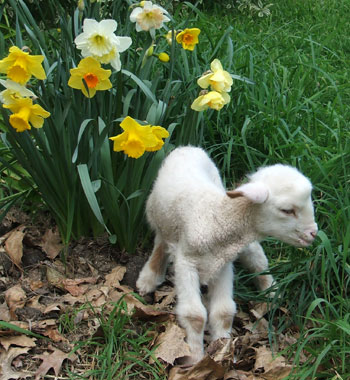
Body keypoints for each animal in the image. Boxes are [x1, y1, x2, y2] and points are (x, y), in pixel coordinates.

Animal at [136, 145, 318, 362]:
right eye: (287, 210)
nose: (313, 233)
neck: (216, 218)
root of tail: (187, 147)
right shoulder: (186, 263)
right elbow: (195, 315)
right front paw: (195, 358)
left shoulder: (222, 263)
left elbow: (223, 312)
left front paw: (222, 351)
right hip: (157, 215)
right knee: (160, 243)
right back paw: (149, 277)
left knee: (257, 257)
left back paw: (271, 290)